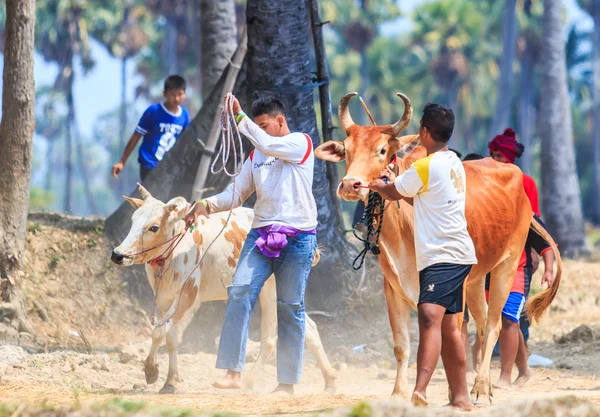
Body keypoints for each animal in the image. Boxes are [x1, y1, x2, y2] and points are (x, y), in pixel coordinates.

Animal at [111, 183, 338, 394]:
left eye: (154, 227)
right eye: (133, 220)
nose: (117, 254)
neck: (173, 253)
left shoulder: (188, 297)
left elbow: (159, 333)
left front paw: (151, 371)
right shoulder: (163, 300)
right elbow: (170, 337)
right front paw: (170, 382)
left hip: (272, 290)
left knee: (270, 339)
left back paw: (248, 382)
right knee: (309, 328)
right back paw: (330, 380)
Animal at [316, 92, 560, 404]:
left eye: (382, 150)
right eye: (346, 149)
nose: (350, 185)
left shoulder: (448, 292)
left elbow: (448, 339)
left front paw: (451, 395)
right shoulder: (392, 287)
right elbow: (401, 346)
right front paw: (399, 393)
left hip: (507, 264)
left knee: (494, 325)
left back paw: (481, 388)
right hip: (476, 280)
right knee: (482, 325)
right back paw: (482, 384)